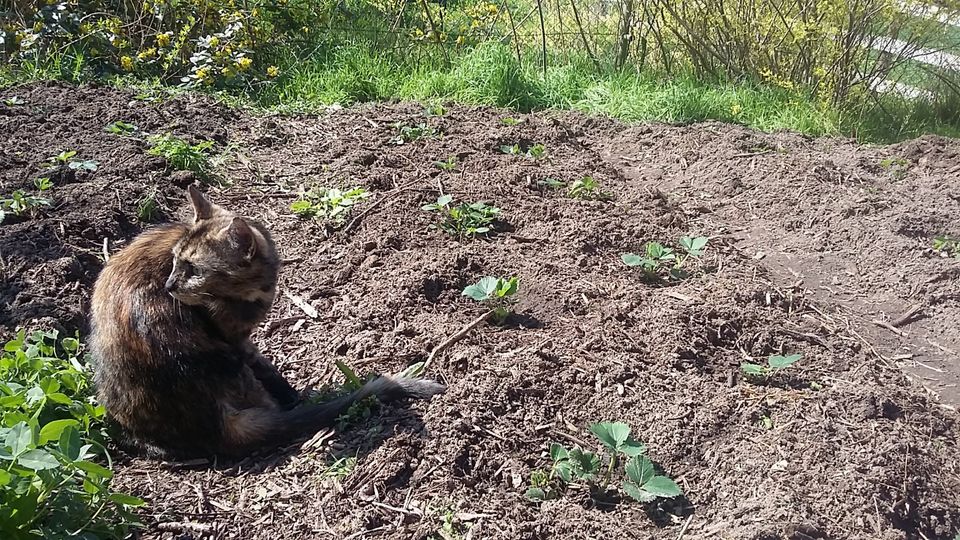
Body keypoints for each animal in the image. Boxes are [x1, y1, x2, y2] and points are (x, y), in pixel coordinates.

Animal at [90, 187, 442, 460]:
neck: (251, 291)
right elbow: (268, 368)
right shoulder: (238, 340)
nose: (168, 285)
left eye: (193, 269)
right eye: (176, 260)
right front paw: (294, 396)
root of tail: (214, 427)